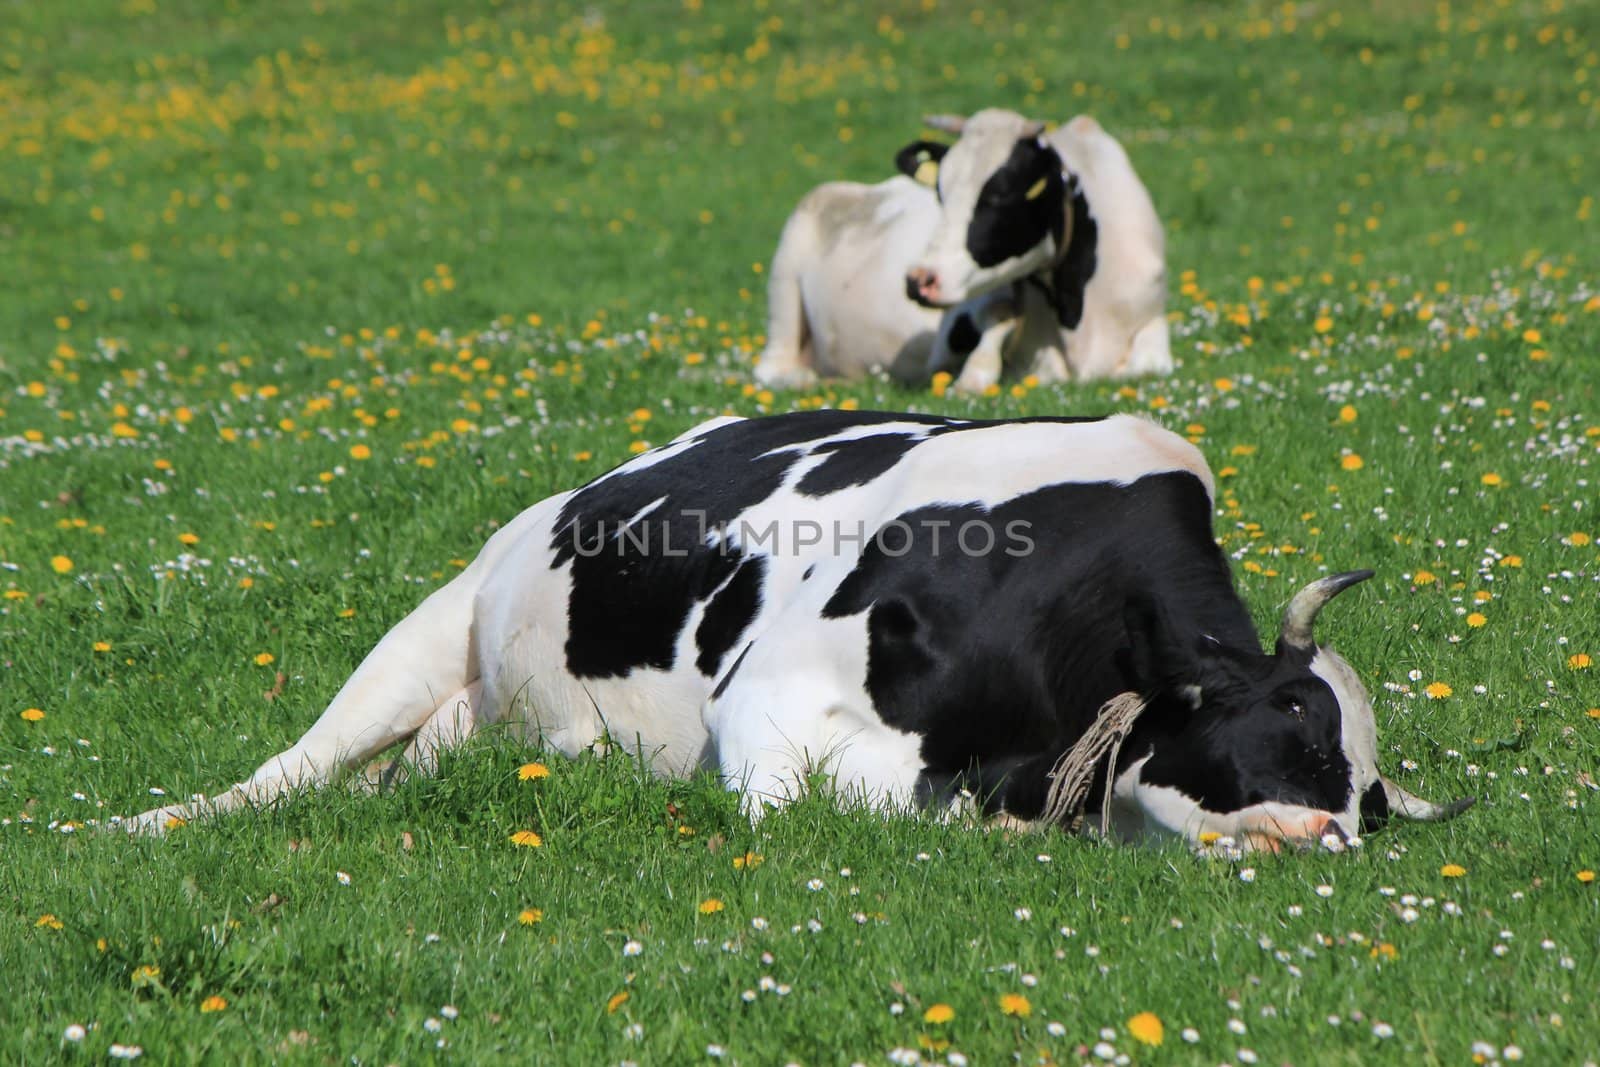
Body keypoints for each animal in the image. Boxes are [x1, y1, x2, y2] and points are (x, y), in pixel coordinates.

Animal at [131, 409, 1465, 851]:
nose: (1321, 839)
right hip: (432, 625)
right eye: (1291, 727)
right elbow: (799, 822)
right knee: (284, 769)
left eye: (1368, 798)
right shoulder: (766, 707)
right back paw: (134, 825)